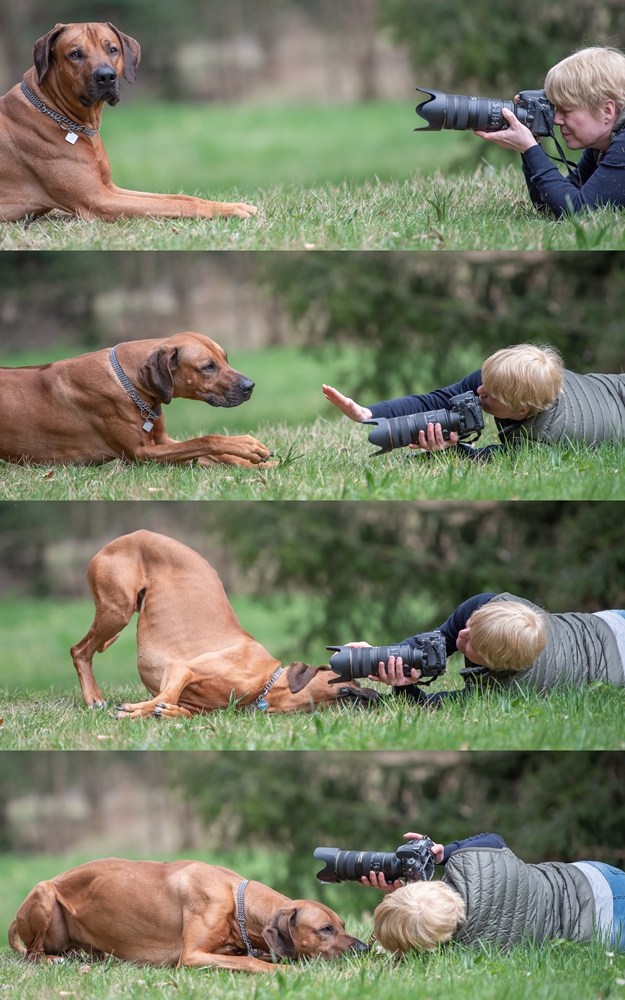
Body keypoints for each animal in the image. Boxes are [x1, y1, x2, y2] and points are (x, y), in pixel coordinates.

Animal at [0, 23, 256, 225]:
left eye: (112, 49)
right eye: (75, 54)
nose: (106, 76)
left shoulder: (110, 188)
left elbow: (179, 198)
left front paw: (234, 204)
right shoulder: (99, 200)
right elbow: (179, 205)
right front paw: (229, 210)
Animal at [0, 332, 270, 464]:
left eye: (226, 358)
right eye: (207, 367)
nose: (250, 386)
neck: (128, 383)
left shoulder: (162, 441)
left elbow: (211, 452)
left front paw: (264, 464)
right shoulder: (143, 454)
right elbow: (206, 440)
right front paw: (246, 444)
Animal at [9, 856, 366, 972]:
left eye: (342, 924)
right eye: (325, 929)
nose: (364, 948)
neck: (236, 899)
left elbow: (254, 955)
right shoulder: (192, 956)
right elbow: (253, 962)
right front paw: (288, 971)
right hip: (44, 892)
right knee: (32, 953)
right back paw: (53, 959)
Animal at [72, 528, 376, 716]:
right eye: (350, 681)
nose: (378, 695)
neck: (265, 685)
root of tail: (122, 539)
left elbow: (176, 709)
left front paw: (164, 713)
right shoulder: (181, 669)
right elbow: (164, 696)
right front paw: (135, 711)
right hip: (117, 610)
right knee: (79, 650)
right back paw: (95, 700)